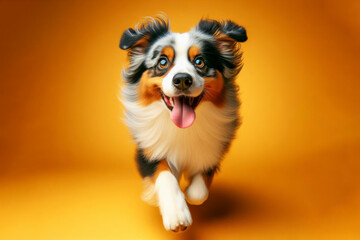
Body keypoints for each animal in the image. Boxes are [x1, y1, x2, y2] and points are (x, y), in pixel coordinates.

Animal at [119, 15, 246, 232]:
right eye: (162, 62)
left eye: (199, 61)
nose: (182, 80)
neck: (182, 128)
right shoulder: (147, 150)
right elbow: (165, 174)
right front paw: (175, 214)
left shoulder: (214, 148)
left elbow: (199, 191)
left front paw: (190, 193)